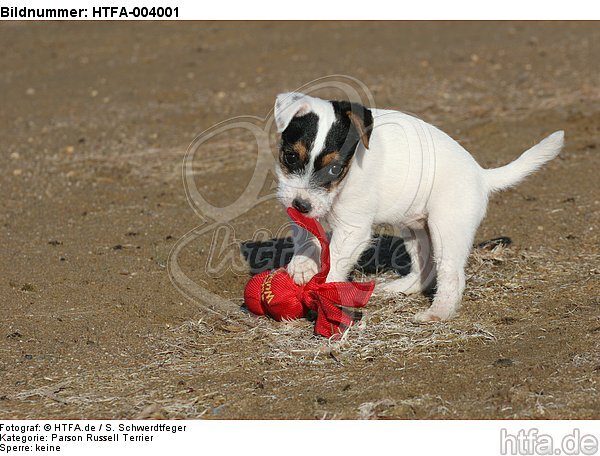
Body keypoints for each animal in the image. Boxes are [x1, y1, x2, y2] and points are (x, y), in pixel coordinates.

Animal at [274, 91, 564, 320]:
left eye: (334, 169)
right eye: (290, 157)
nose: (301, 204)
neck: (347, 176)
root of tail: (481, 175)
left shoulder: (353, 229)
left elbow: (333, 260)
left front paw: (320, 288)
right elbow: (306, 234)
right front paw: (302, 265)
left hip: (447, 228)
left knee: (452, 275)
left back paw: (439, 313)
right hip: (415, 229)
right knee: (426, 268)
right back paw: (401, 287)